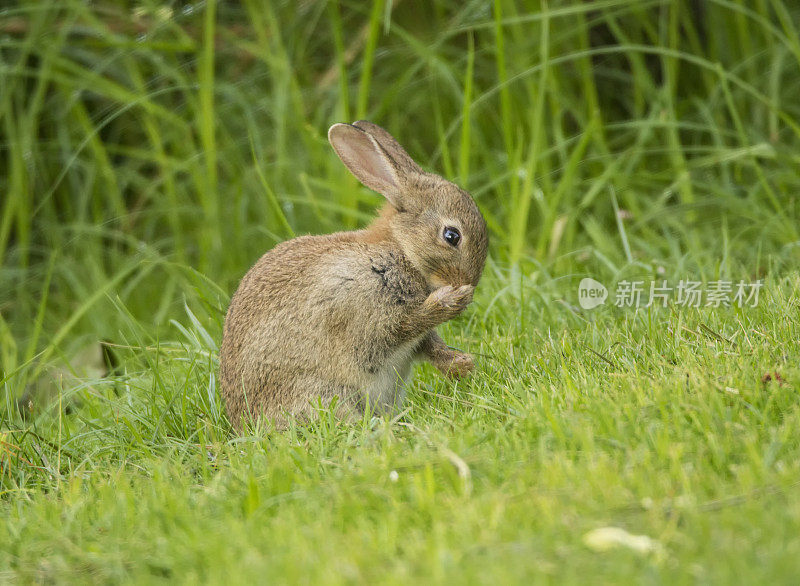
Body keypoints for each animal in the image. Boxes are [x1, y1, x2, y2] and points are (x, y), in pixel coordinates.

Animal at [222, 120, 490, 428]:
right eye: (452, 236)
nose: (466, 283)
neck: (400, 249)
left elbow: (428, 343)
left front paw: (461, 364)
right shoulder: (364, 306)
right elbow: (400, 330)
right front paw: (451, 301)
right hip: (323, 392)